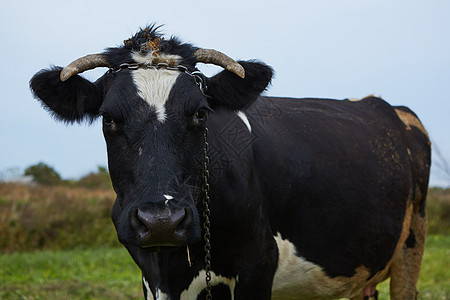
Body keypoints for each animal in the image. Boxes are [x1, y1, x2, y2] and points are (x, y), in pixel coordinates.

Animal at [29, 24, 430, 298]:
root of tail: (381, 104)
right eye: (109, 118)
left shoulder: (259, 263)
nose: (161, 221)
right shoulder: (150, 275)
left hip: (412, 246)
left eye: (201, 113)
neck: (174, 265)